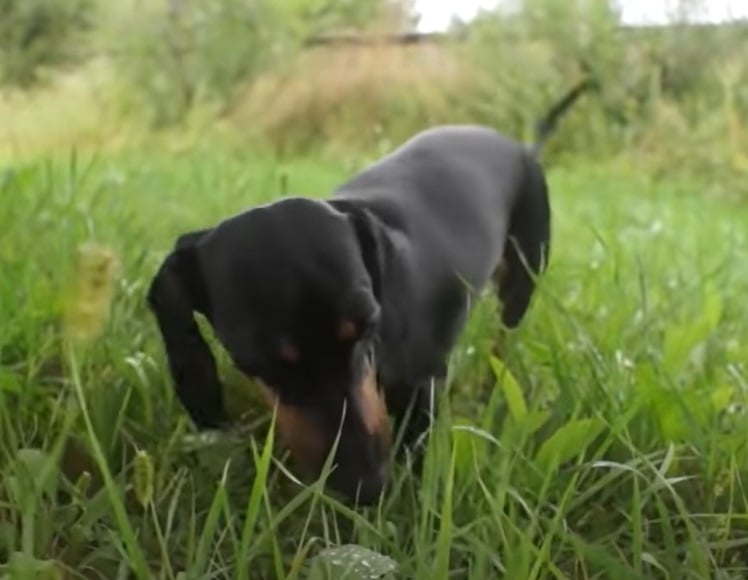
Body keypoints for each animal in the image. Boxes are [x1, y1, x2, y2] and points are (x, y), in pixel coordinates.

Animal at [146, 79, 592, 506]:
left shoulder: (423, 387)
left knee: (504, 336)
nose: (368, 488)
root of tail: (522, 147)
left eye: (368, 325)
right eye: (255, 361)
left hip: (523, 278)